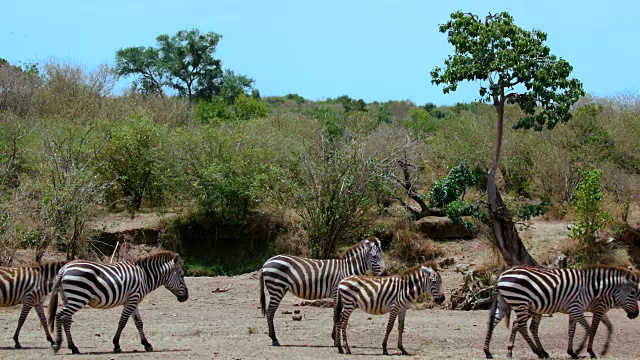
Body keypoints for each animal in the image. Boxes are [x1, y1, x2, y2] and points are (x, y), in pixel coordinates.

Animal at [46, 250, 189, 354]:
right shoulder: (132, 299)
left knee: (66, 319)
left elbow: (139, 323)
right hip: (78, 297)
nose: (186, 297)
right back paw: (57, 344)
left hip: (69, 298)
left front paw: (146, 344)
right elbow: (123, 322)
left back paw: (73, 347)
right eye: (182, 275)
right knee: (60, 315)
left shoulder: (133, 300)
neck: (145, 276)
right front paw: (116, 345)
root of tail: (64, 268)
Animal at [482, 264, 636, 360]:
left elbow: (573, 330)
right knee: (521, 326)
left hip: (508, 303)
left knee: (495, 322)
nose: (635, 315)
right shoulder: (580, 308)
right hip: (520, 302)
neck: (594, 288)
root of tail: (501, 275)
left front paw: (573, 352)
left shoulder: (575, 310)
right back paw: (531, 352)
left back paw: (489, 351)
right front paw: (586, 351)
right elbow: (589, 329)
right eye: (633, 293)